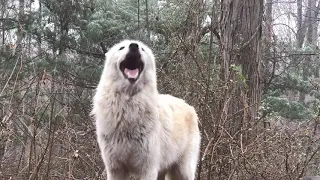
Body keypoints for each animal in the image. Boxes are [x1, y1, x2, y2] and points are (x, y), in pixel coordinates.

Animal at [91, 39, 200, 180]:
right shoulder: (115, 169)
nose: (134, 46)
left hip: (182, 171)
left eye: (142, 49)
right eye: (121, 48)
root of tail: (189, 106)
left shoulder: (147, 169)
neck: (128, 108)